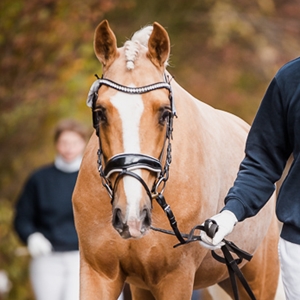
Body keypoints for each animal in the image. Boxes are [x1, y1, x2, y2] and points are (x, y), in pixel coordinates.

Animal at [72, 19, 278, 298]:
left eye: (164, 113)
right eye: (100, 111)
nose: (131, 216)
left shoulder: (176, 279)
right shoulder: (98, 274)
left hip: (259, 280)